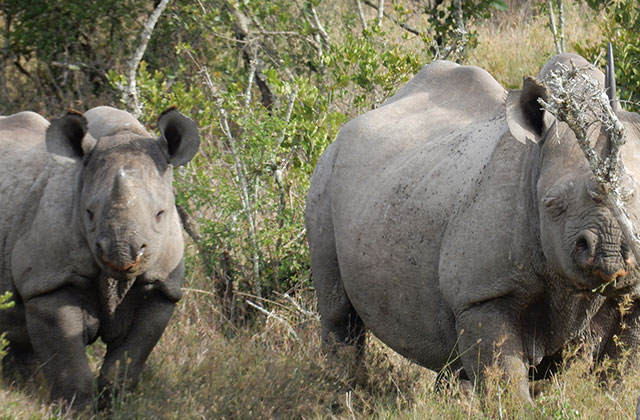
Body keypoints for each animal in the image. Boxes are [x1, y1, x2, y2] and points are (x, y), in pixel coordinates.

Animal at [0, 106, 200, 407]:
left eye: (160, 214)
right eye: (89, 213)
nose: (123, 257)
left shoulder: (161, 287)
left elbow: (129, 358)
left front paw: (115, 405)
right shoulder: (49, 281)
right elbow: (66, 358)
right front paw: (74, 408)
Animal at [306, 53, 640, 402]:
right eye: (551, 204)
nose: (611, 254)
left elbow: (620, 373)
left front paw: (611, 399)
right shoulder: (483, 295)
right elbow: (505, 384)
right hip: (325, 177)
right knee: (338, 313)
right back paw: (339, 395)